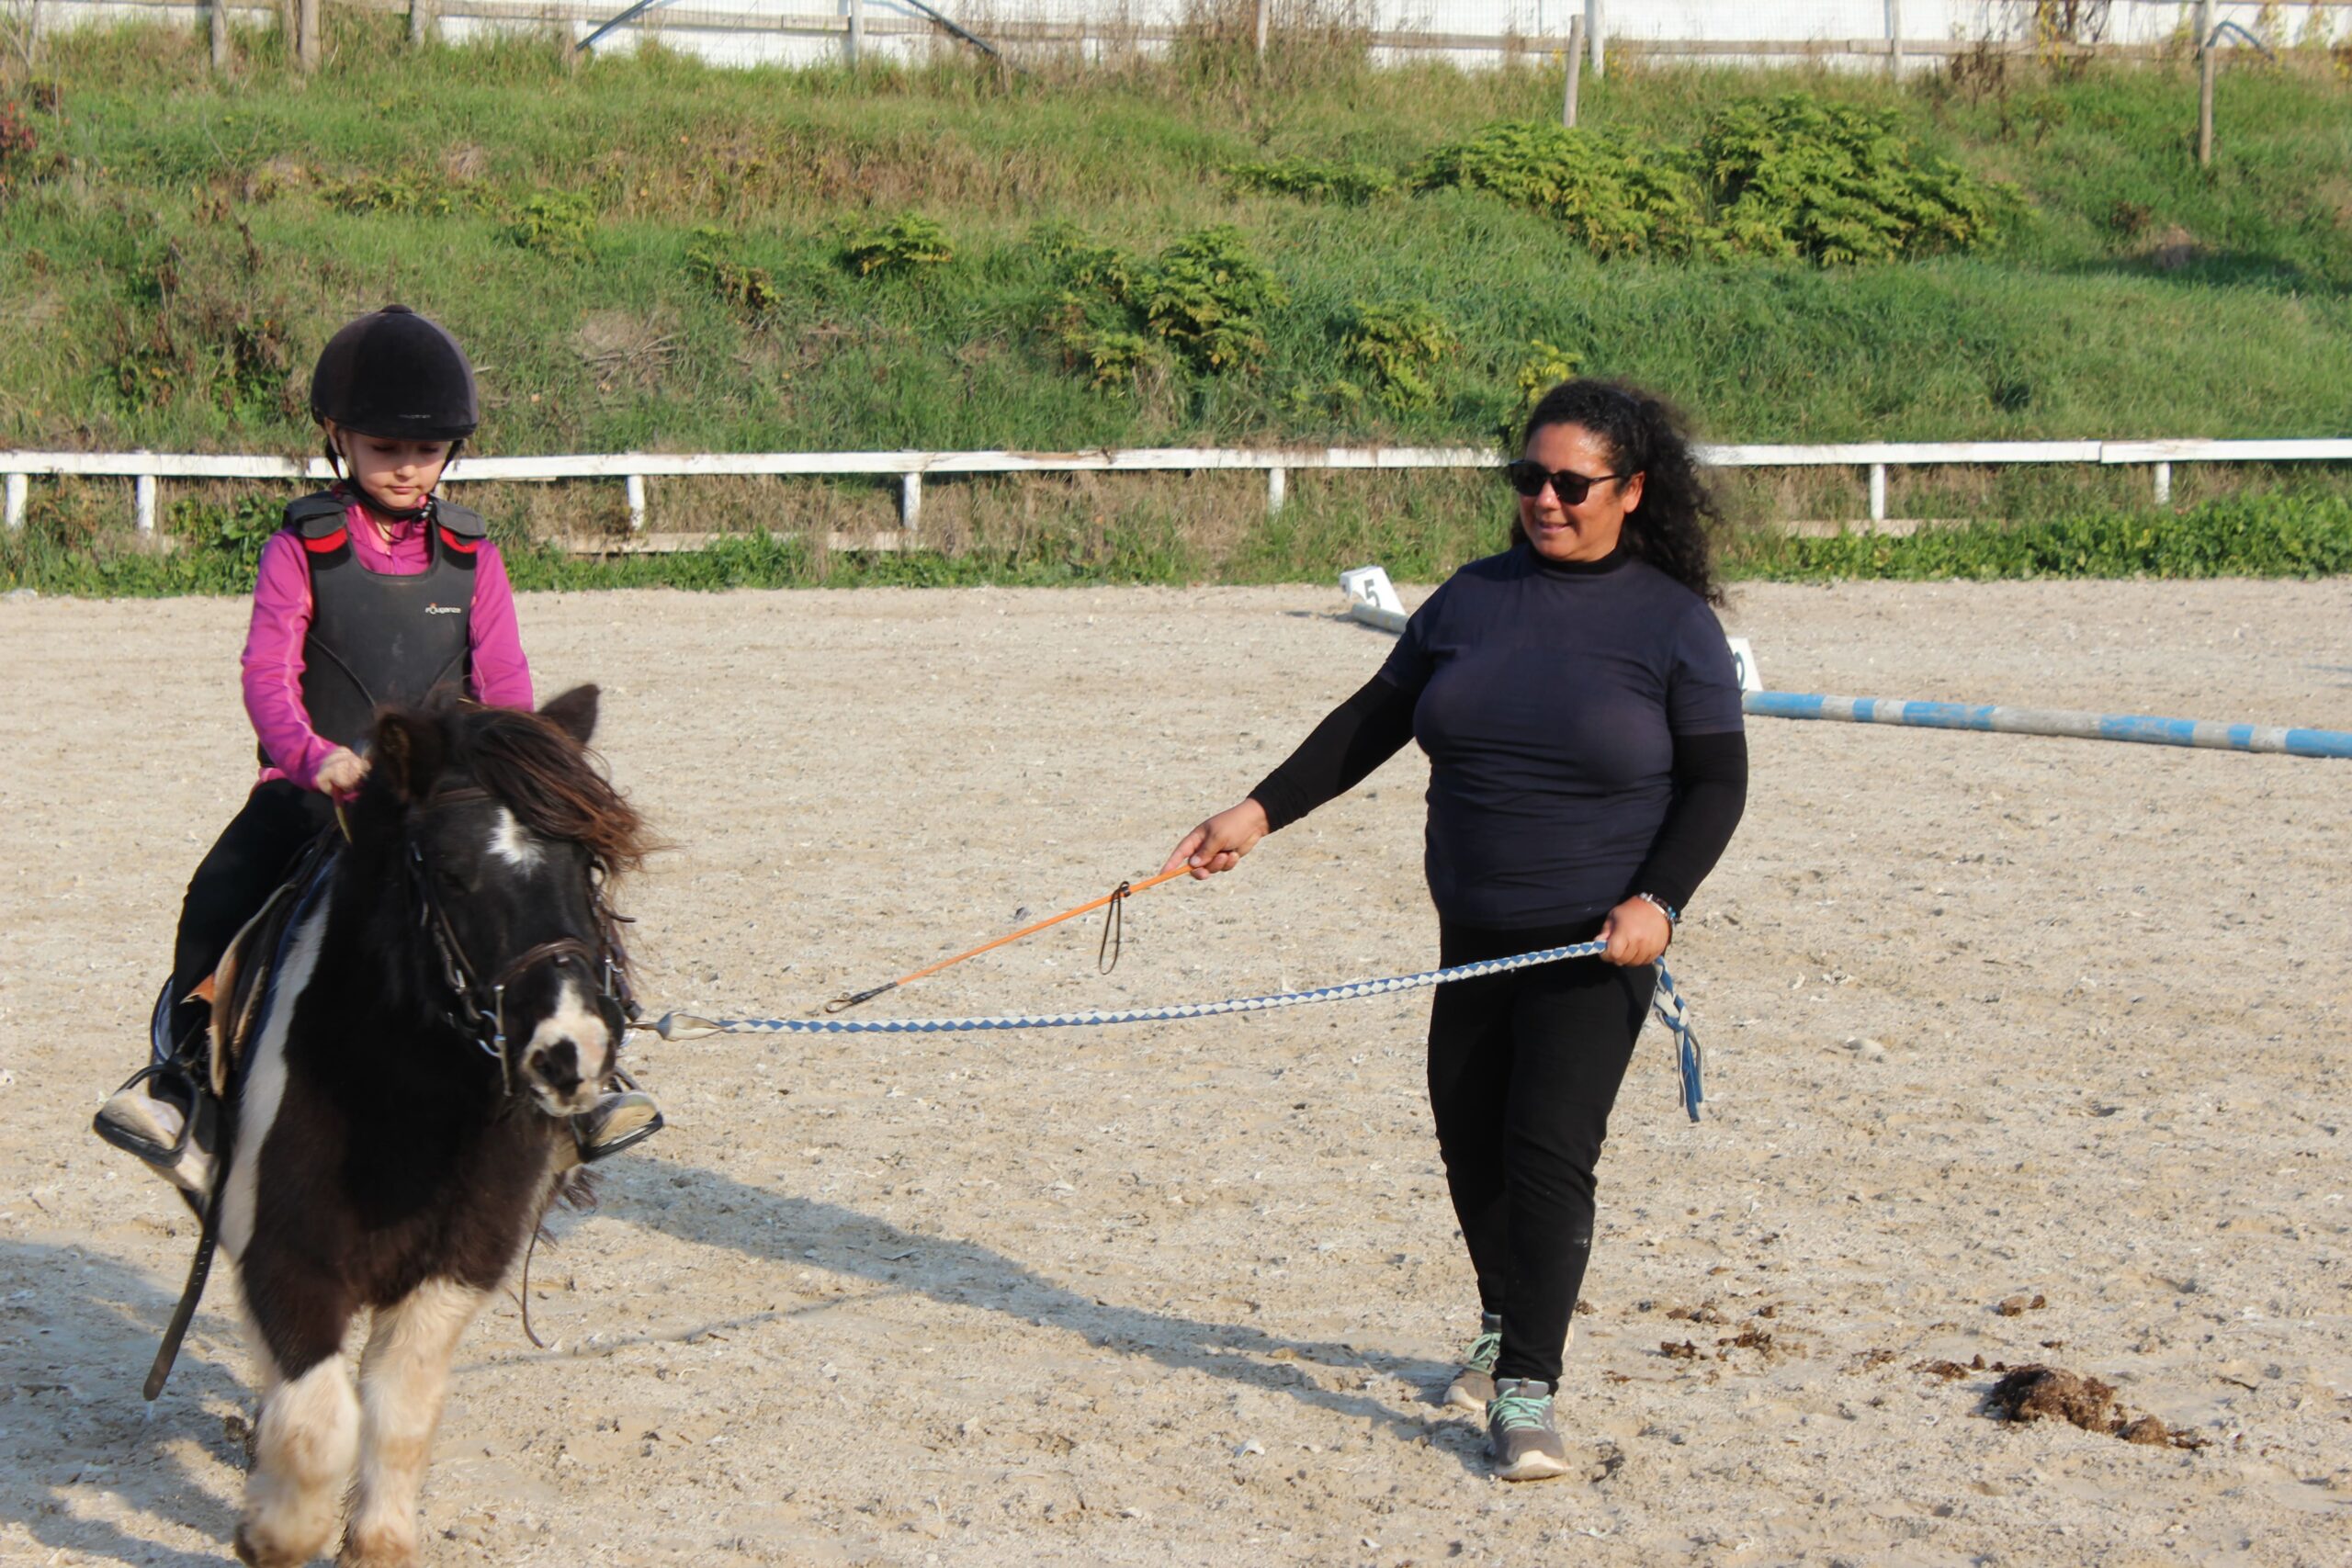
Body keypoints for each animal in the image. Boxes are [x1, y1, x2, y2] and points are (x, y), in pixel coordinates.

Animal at [208, 685, 650, 1568]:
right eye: (451, 872)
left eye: (585, 864)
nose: (570, 1050)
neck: (402, 1108)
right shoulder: (282, 1253)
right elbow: (317, 1424)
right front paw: (269, 1531)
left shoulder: (459, 1261)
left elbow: (398, 1409)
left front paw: (375, 1539)